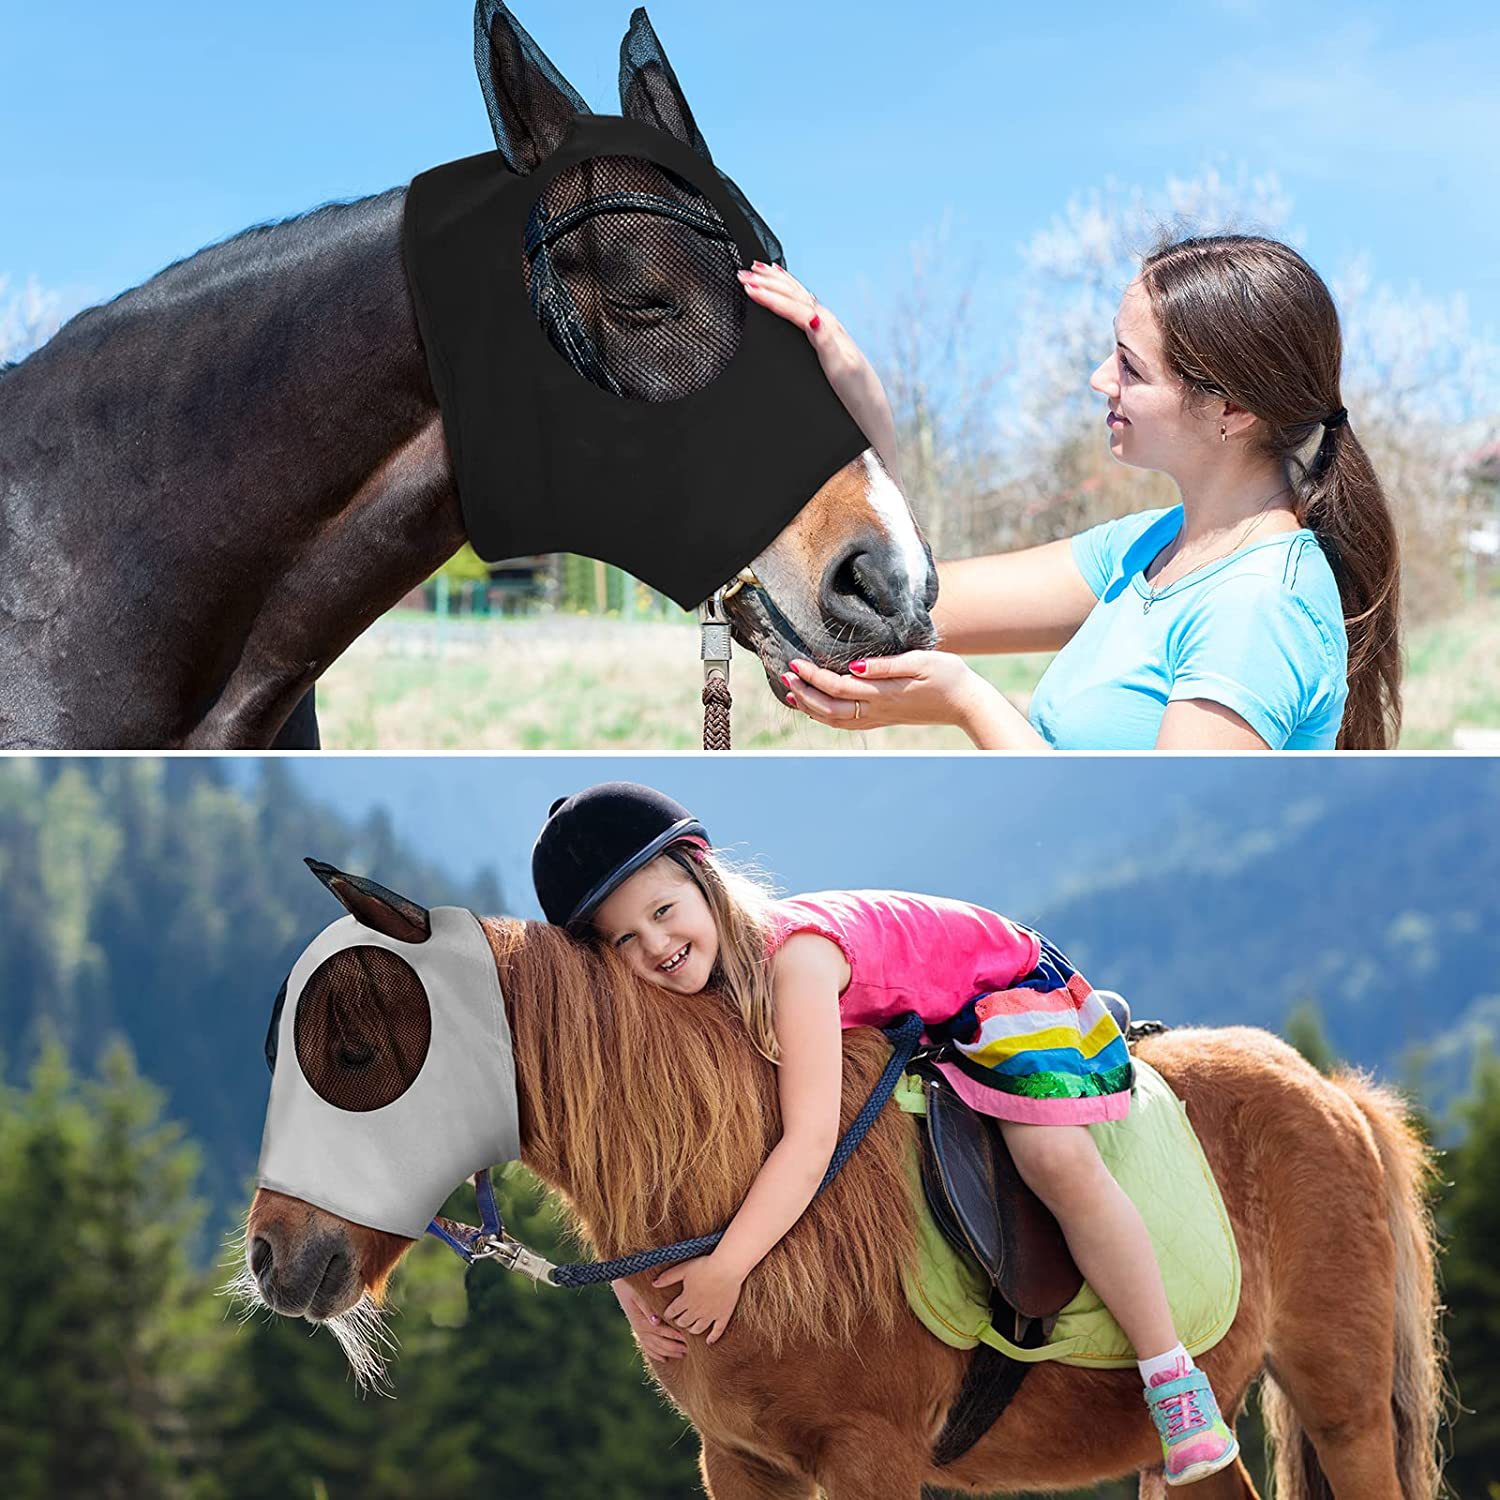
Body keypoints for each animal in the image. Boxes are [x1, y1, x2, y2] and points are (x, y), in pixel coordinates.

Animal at [240, 870, 1446, 1500]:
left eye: (353, 1053)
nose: (269, 1256)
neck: (745, 1220)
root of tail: (1333, 1094)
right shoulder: (741, 1463)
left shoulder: (872, 1458)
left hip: (1339, 1406)